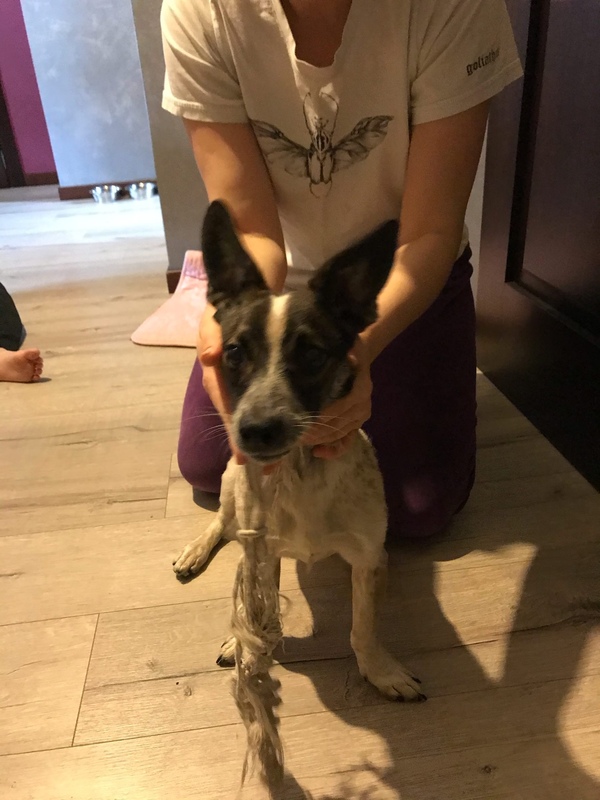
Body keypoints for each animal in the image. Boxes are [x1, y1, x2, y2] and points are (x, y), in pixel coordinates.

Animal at [173, 200, 425, 702]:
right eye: (234, 352)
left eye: (312, 354)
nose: (255, 431)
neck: (301, 471)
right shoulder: (263, 555)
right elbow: (260, 614)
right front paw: (250, 649)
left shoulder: (368, 558)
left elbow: (363, 628)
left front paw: (380, 671)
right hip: (230, 484)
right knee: (221, 525)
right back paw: (197, 555)